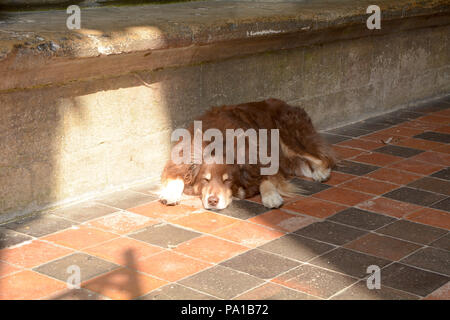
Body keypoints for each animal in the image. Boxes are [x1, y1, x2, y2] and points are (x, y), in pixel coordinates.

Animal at [158, 99, 334, 211]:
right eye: (205, 180)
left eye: (228, 180)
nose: (212, 201)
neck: (220, 144)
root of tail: (289, 104)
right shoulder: (182, 157)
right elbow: (176, 176)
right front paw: (170, 194)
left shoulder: (263, 160)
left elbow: (266, 180)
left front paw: (271, 196)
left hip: (289, 140)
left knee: (325, 158)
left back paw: (321, 173)